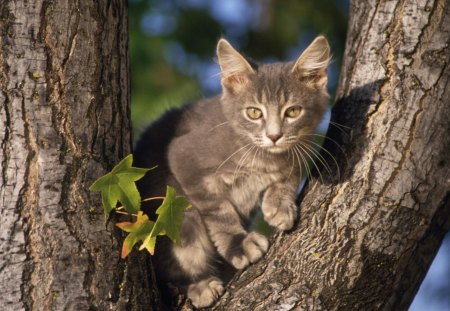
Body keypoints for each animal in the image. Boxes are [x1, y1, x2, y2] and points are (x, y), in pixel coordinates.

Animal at [134, 36, 330, 310]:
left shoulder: (299, 152)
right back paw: (198, 286)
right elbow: (219, 211)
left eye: (293, 111)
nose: (274, 135)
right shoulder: (183, 157)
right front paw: (239, 244)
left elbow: (288, 174)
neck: (262, 157)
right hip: (172, 209)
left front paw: (279, 205)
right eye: (254, 112)